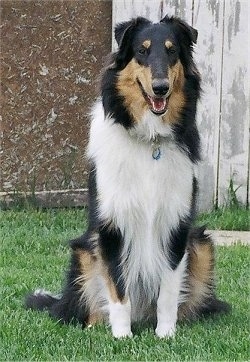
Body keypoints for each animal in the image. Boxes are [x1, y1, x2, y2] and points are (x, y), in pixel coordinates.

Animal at [25, 14, 230, 336]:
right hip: (84, 250)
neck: (149, 139)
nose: (160, 88)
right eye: (142, 51)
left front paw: (166, 334)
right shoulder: (112, 224)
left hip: (202, 244)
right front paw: (122, 336)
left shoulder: (176, 224)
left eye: (172, 51)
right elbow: (117, 286)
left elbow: (169, 288)